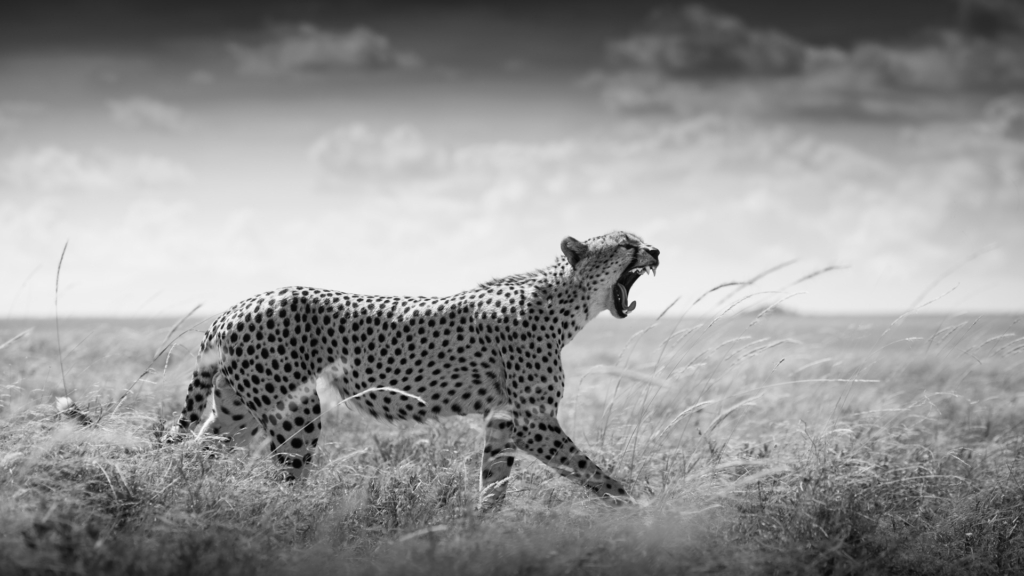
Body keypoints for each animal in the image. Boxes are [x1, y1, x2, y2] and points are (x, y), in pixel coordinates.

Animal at [165, 229, 663, 506]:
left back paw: (181, 496)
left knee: (196, 448)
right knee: (284, 479)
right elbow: (596, 476)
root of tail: (237, 305)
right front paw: (645, 514)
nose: (656, 251)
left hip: (236, 412)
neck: (566, 302)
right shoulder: (534, 422)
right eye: (626, 244)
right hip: (295, 413)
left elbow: (493, 486)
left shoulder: (504, 420)